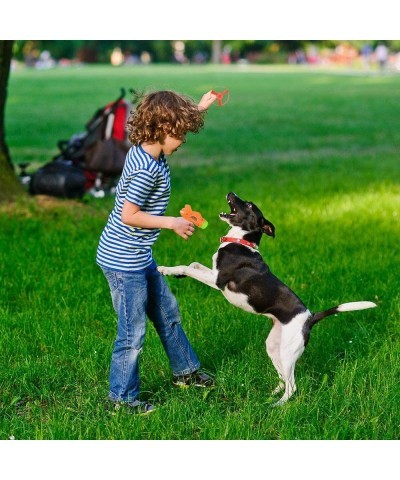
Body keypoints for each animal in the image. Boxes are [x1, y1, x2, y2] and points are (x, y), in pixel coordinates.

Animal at [158, 191, 376, 404]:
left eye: (249, 205)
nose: (230, 192)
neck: (241, 242)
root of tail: (310, 318)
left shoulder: (217, 280)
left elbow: (188, 266)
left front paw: (166, 269)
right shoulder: (212, 273)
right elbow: (193, 264)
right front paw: (177, 274)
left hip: (288, 352)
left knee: (292, 386)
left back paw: (277, 405)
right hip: (273, 347)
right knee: (283, 378)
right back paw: (272, 394)